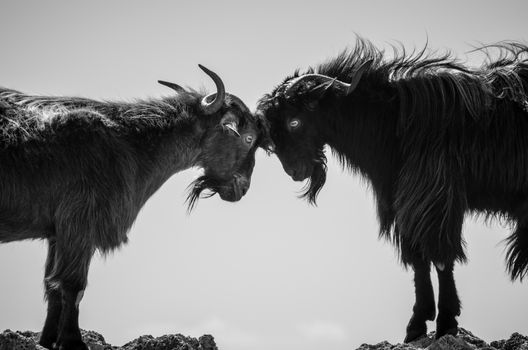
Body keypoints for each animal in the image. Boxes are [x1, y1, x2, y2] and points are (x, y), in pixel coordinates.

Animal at [0, 65, 268, 350]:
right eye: (248, 138)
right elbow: (73, 284)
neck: (131, 142)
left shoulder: (57, 231)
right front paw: (73, 341)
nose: (241, 188)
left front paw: (49, 340)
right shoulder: (82, 220)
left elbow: (52, 285)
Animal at [258, 38, 528, 342]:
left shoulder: (435, 199)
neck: (392, 121)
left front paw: (446, 321)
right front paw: (417, 325)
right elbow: (418, 260)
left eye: (295, 121)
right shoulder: (404, 203)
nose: (294, 171)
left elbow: (440, 257)